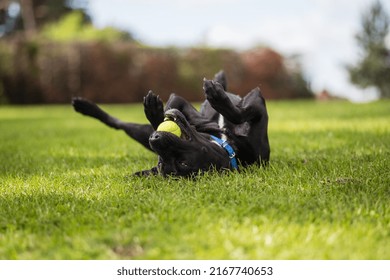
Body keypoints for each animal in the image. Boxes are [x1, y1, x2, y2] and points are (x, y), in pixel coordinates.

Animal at [72, 70, 268, 175]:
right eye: (161, 162)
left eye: (183, 163)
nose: (155, 139)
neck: (229, 146)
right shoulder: (178, 102)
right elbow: (171, 110)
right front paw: (156, 112)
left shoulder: (257, 102)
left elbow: (239, 114)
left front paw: (217, 97)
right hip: (141, 132)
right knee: (116, 122)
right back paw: (85, 106)